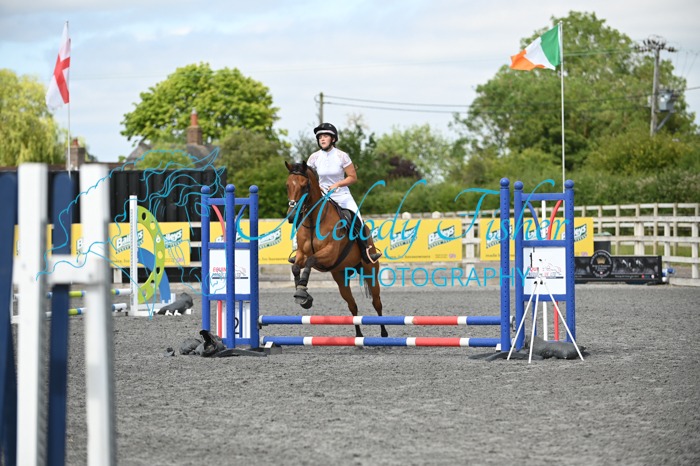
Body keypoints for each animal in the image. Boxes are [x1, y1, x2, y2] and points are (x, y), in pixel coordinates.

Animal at [285, 160, 387, 338]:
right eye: (287, 185)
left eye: (304, 186)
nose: (291, 216)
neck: (314, 221)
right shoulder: (302, 254)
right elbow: (296, 267)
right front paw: (302, 294)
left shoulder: (330, 253)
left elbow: (311, 261)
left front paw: (303, 293)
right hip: (341, 277)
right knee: (352, 305)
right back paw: (359, 336)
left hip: (370, 271)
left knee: (377, 303)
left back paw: (384, 333)